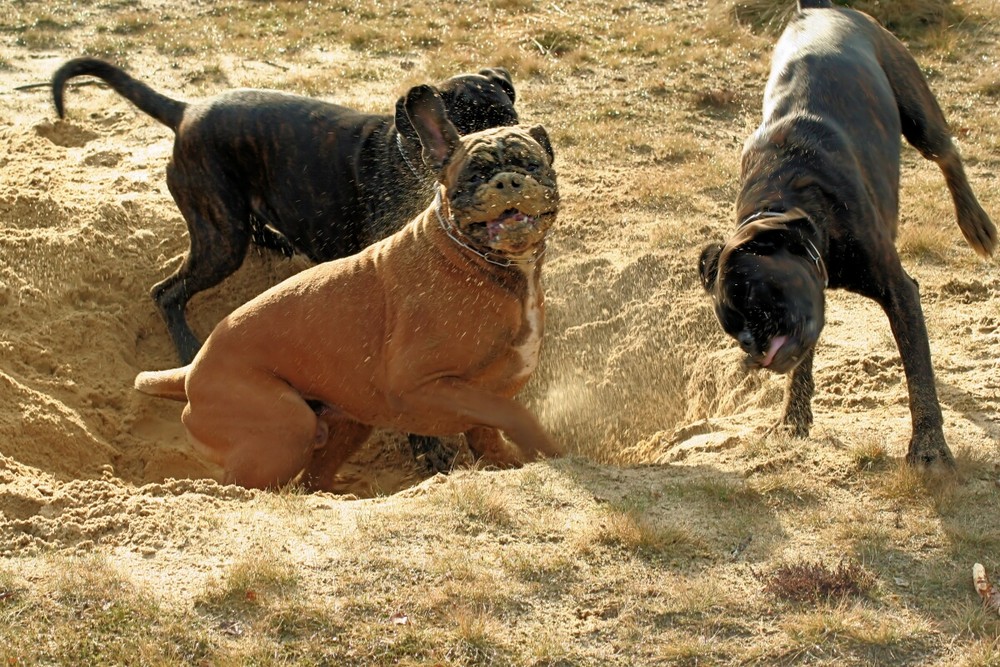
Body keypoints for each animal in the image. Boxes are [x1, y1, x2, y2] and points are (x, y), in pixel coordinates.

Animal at [50, 57, 520, 366]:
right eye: (471, 130)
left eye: (513, 119)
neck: (406, 155)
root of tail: (188, 111)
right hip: (221, 240)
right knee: (167, 293)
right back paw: (188, 348)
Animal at [135, 86, 564, 488]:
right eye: (474, 174)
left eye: (533, 164)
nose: (509, 181)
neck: (478, 262)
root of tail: (189, 373)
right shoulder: (421, 386)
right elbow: (514, 414)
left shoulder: (478, 398)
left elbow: (490, 433)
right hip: (287, 422)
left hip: (345, 422)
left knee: (311, 481)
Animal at [700, 0, 996, 470]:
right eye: (733, 331)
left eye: (756, 302)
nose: (751, 345)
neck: (786, 201)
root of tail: (817, 9)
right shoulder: (810, 304)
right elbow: (803, 364)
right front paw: (793, 418)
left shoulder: (899, 291)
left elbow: (918, 373)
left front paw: (929, 447)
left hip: (918, 112)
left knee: (947, 154)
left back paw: (977, 224)